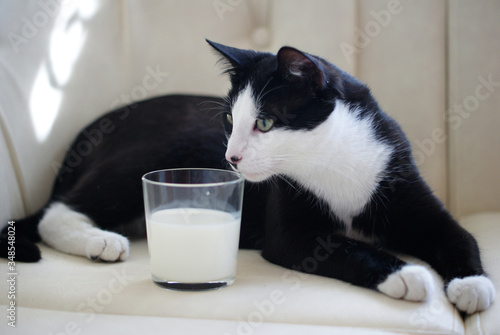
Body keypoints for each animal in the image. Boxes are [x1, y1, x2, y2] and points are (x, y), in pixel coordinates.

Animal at [0, 41, 492, 316]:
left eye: (266, 123)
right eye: (228, 121)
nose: (230, 158)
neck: (332, 160)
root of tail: (88, 133)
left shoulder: (399, 177)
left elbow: (458, 234)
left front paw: (473, 285)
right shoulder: (290, 231)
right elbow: (345, 247)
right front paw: (404, 273)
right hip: (147, 155)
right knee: (53, 213)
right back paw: (100, 240)